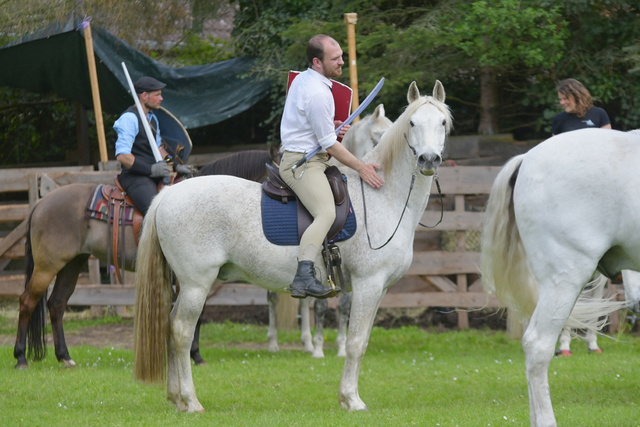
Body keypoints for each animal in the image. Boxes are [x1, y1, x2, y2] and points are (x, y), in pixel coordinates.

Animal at [13, 146, 280, 368]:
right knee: (27, 301)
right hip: (47, 266)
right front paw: (195, 354)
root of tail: (41, 204)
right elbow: (196, 315)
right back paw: (20, 357)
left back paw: (64, 357)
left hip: (72, 264)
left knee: (56, 304)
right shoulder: (191, 276)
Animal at [266, 103, 396, 358]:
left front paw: (341, 346)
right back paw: (275, 342)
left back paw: (305, 341)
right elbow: (321, 304)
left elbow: (344, 305)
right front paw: (319, 347)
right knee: (274, 297)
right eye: (378, 137)